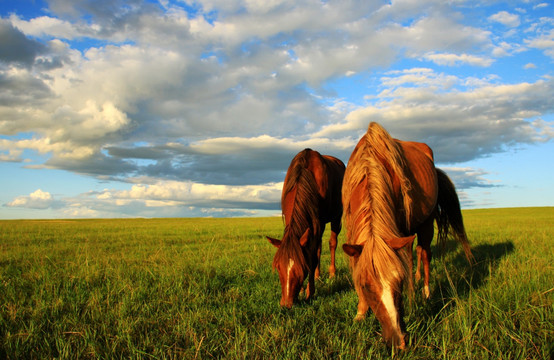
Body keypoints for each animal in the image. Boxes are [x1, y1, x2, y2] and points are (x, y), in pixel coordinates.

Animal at [266, 148, 342, 308]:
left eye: (302, 269)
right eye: (278, 268)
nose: (286, 304)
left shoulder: (319, 223)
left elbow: (312, 257)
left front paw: (310, 292)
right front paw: (302, 290)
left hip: (336, 217)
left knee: (332, 243)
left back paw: (332, 274)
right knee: (319, 247)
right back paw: (318, 275)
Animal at [340, 122, 470, 348]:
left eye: (398, 281)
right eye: (365, 286)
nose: (398, 340)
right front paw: (360, 313)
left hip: (425, 225)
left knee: (424, 254)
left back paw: (425, 291)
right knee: (414, 252)